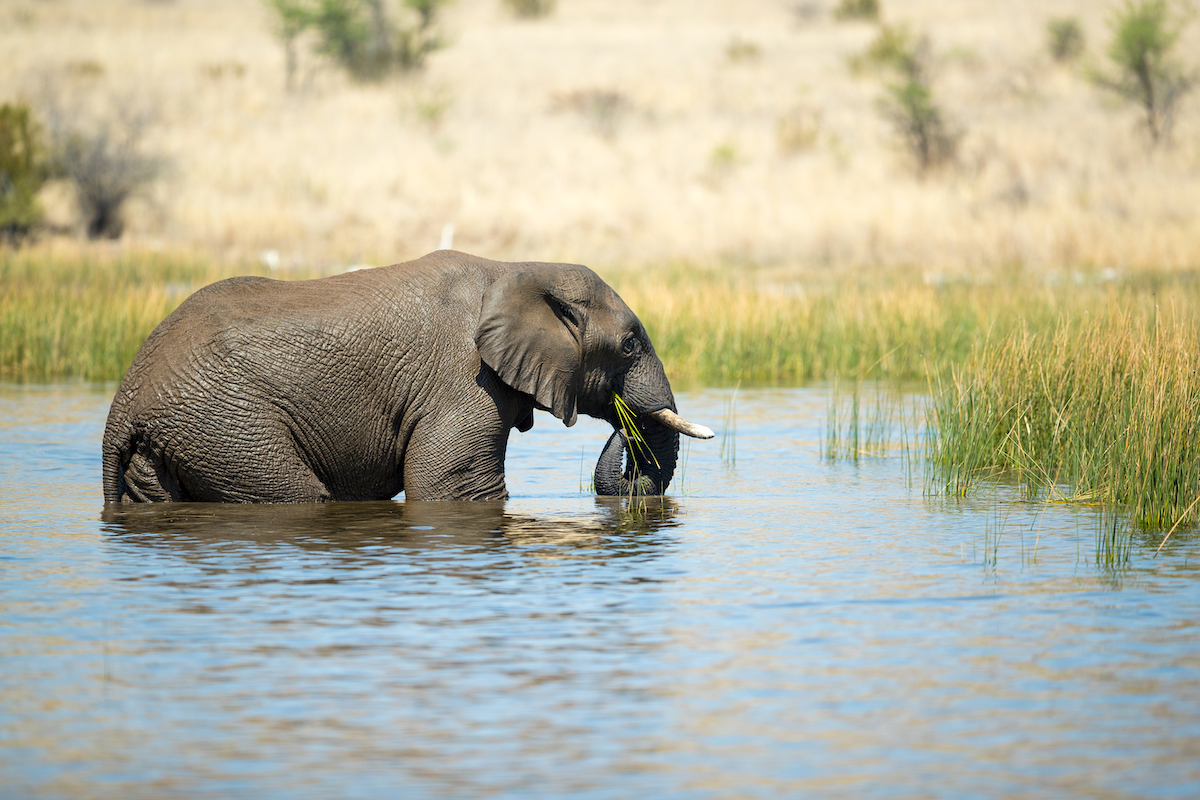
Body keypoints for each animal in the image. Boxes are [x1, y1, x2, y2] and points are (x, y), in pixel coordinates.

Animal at [101, 250, 713, 503]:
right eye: (630, 344)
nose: (623, 431)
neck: (516, 268)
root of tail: (122, 405)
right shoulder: (464, 384)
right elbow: (454, 489)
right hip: (226, 425)